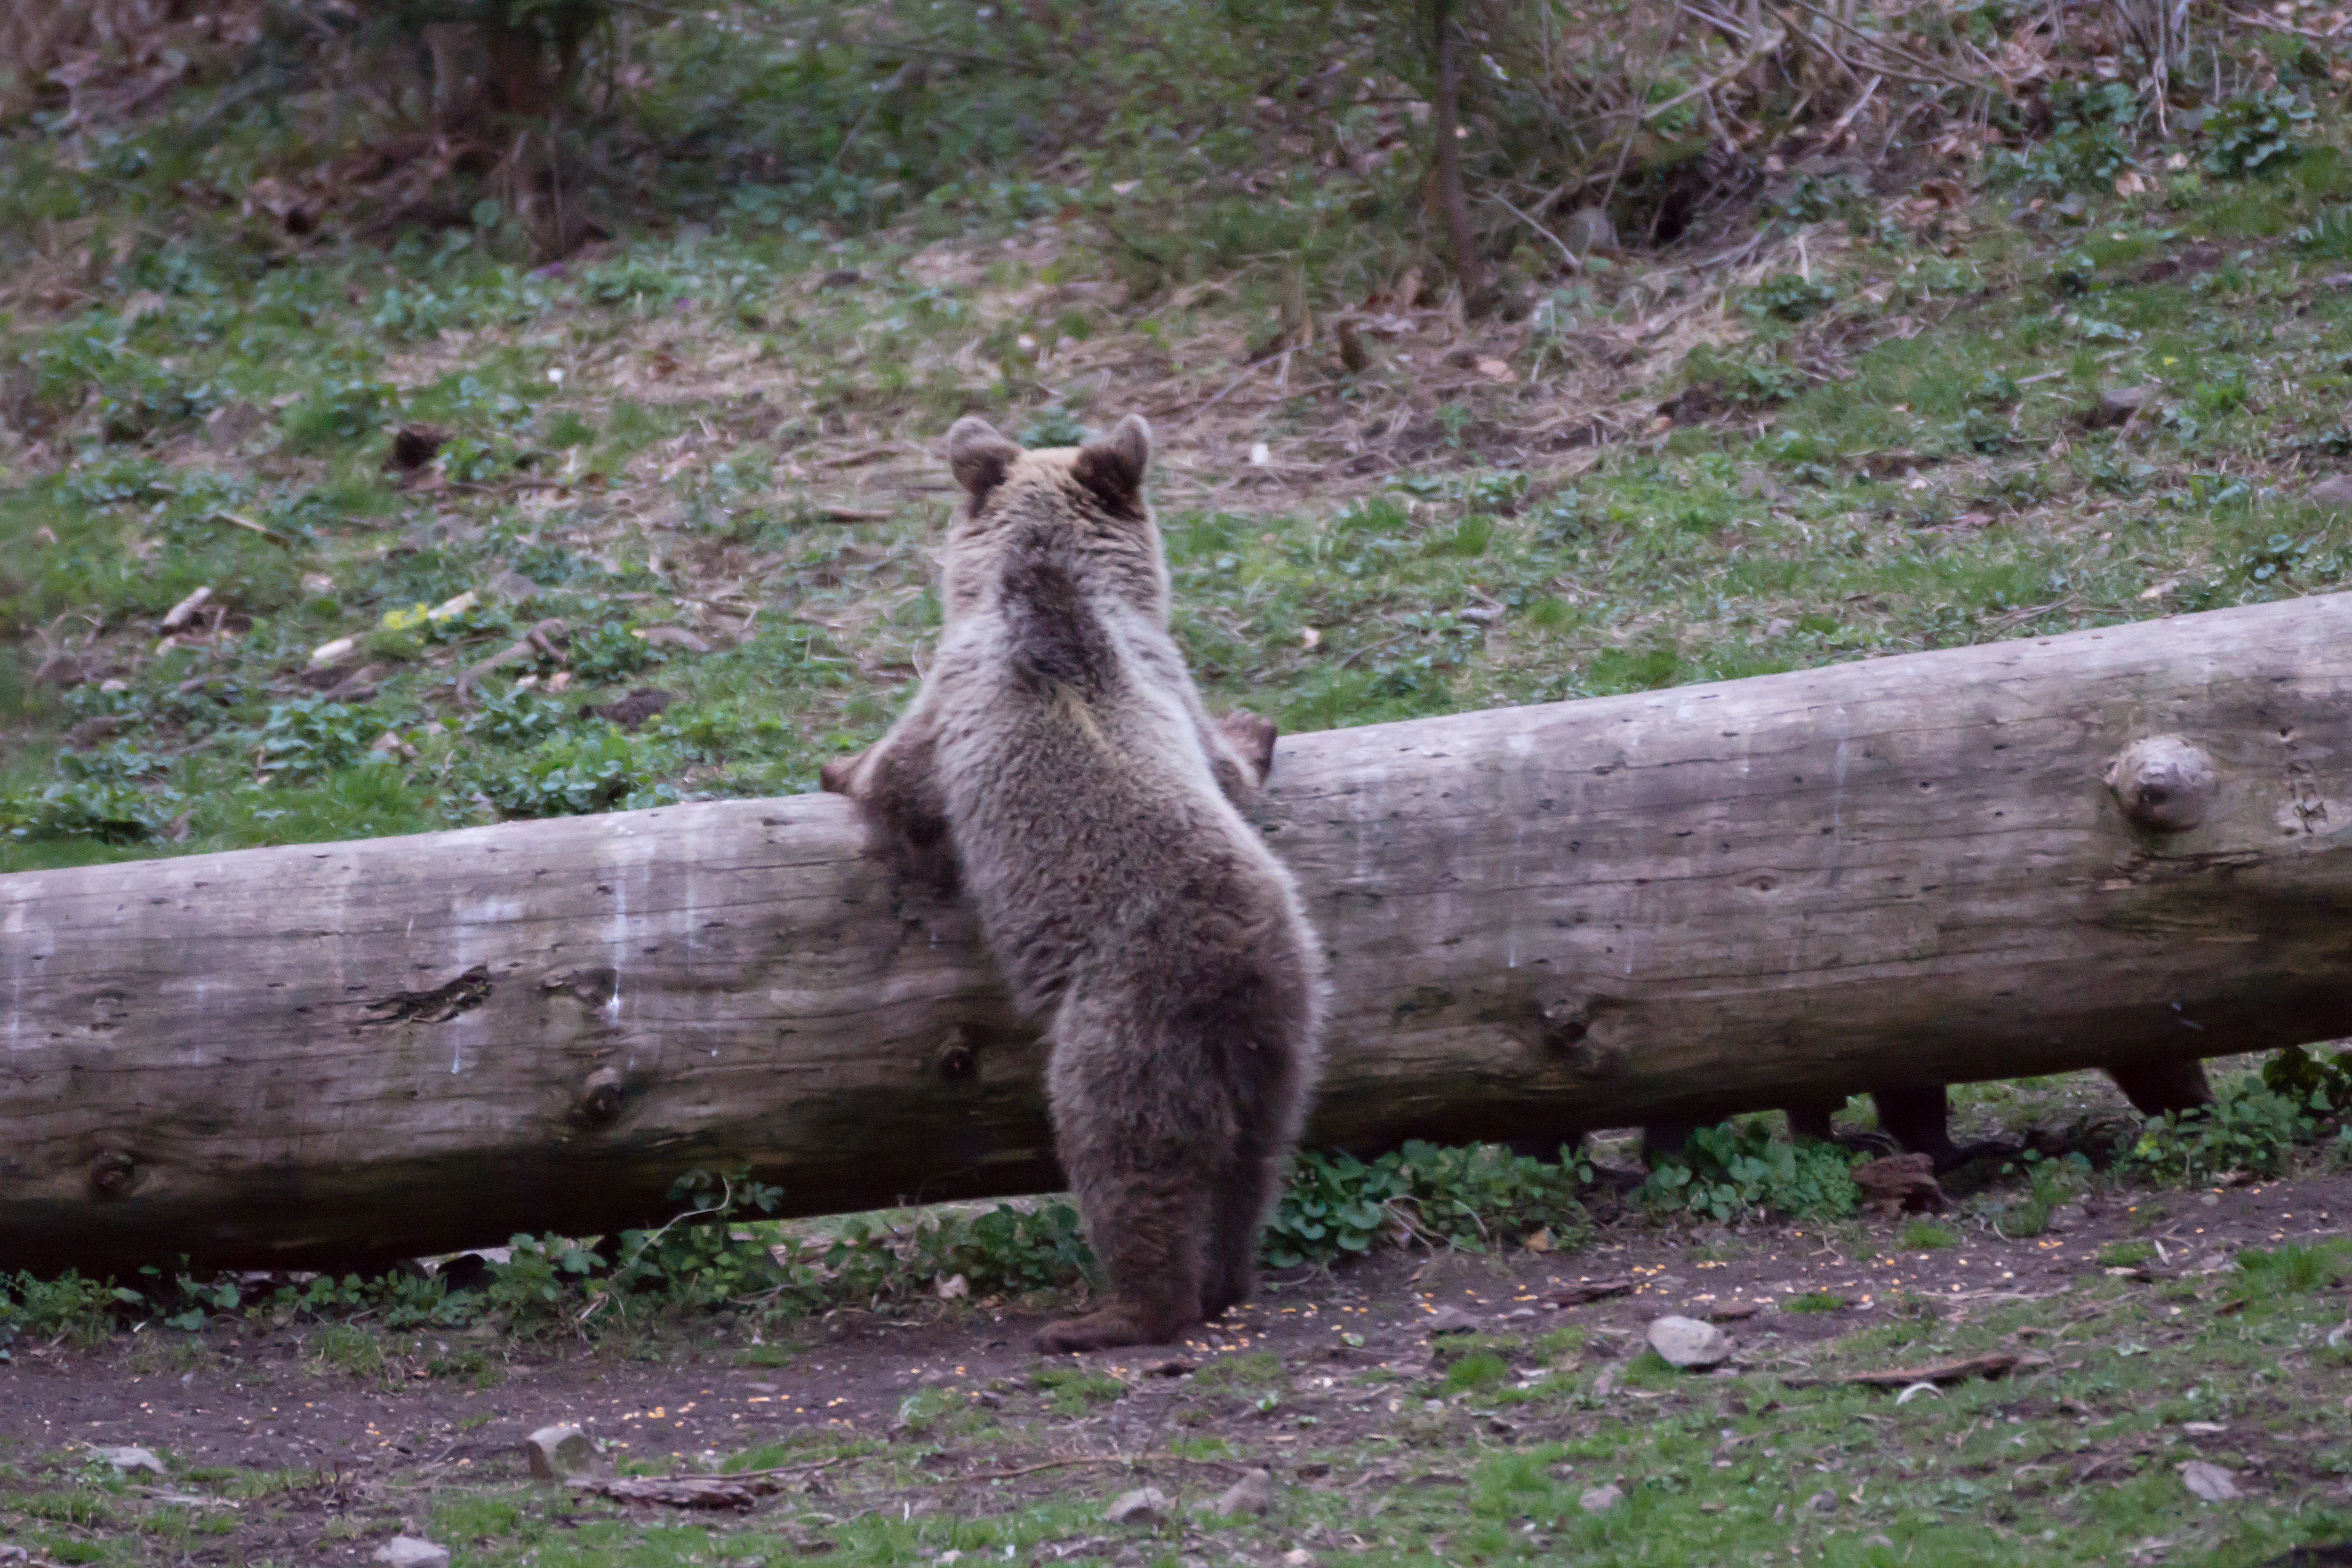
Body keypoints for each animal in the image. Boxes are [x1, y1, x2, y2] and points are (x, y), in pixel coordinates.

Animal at [819, 412, 1325, 1354]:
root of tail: (1240, 967)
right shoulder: (1166, 679)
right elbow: (1226, 763)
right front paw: (1256, 730)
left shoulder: (957, 696)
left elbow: (901, 778)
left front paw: (839, 767)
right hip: (1289, 1034)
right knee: (1256, 1165)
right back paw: (1229, 1277)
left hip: (1123, 1025)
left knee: (1124, 1158)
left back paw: (1110, 1315)